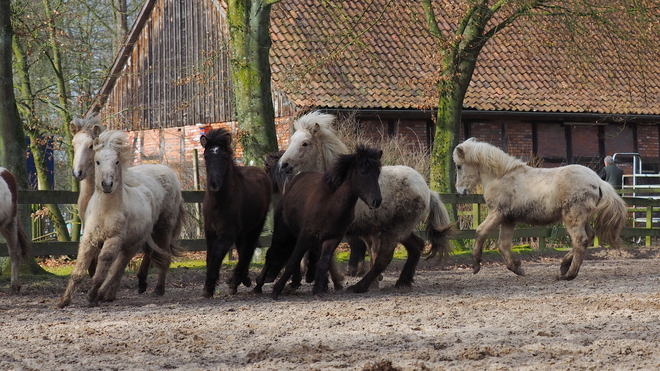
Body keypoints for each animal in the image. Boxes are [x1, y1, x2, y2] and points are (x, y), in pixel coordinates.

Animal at [58, 131, 183, 308]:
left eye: (90, 146)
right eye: (97, 161)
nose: (107, 184)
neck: (105, 210)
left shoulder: (113, 239)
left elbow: (104, 266)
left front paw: (92, 295)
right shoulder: (89, 238)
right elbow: (81, 269)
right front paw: (64, 300)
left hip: (160, 230)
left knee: (158, 257)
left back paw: (156, 289)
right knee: (132, 262)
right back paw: (123, 290)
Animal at [202, 129, 272, 298]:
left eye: (225, 157)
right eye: (206, 156)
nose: (214, 184)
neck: (219, 202)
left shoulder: (228, 232)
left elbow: (217, 254)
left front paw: (208, 288)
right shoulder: (210, 231)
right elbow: (209, 256)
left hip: (256, 226)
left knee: (248, 250)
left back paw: (235, 282)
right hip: (243, 230)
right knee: (243, 250)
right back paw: (243, 279)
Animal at [255, 144, 384, 300]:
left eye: (377, 173)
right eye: (363, 172)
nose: (376, 201)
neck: (330, 203)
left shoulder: (333, 238)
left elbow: (323, 263)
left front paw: (317, 290)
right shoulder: (305, 236)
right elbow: (293, 261)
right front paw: (277, 290)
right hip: (283, 232)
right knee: (272, 253)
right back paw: (258, 285)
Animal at [278, 111, 454, 294]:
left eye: (305, 143)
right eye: (291, 141)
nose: (283, 165)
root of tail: (428, 191)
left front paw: (333, 282)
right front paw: (328, 282)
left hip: (395, 230)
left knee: (384, 258)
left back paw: (360, 286)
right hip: (399, 229)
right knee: (416, 245)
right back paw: (402, 281)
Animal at [454, 138, 628, 280]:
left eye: (458, 166)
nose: (460, 191)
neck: (501, 176)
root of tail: (598, 181)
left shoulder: (497, 213)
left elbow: (480, 232)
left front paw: (476, 265)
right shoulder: (509, 219)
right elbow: (503, 245)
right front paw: (517, 268)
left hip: (572, 217)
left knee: (581, 240)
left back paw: (568, 275)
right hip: (581, 218)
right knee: (589, 237)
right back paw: (563, 266)